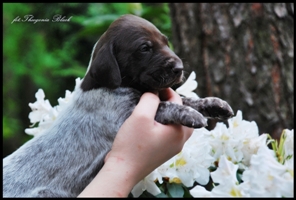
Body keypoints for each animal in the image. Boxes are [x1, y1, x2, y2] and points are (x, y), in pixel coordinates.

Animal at [2, 14, 234, 197]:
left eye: (166, 42)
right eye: (144, 48)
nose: (179, 68)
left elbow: (186, 98)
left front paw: (216, 105)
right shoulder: (124, 116)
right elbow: (167, 106)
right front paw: (190, 114)